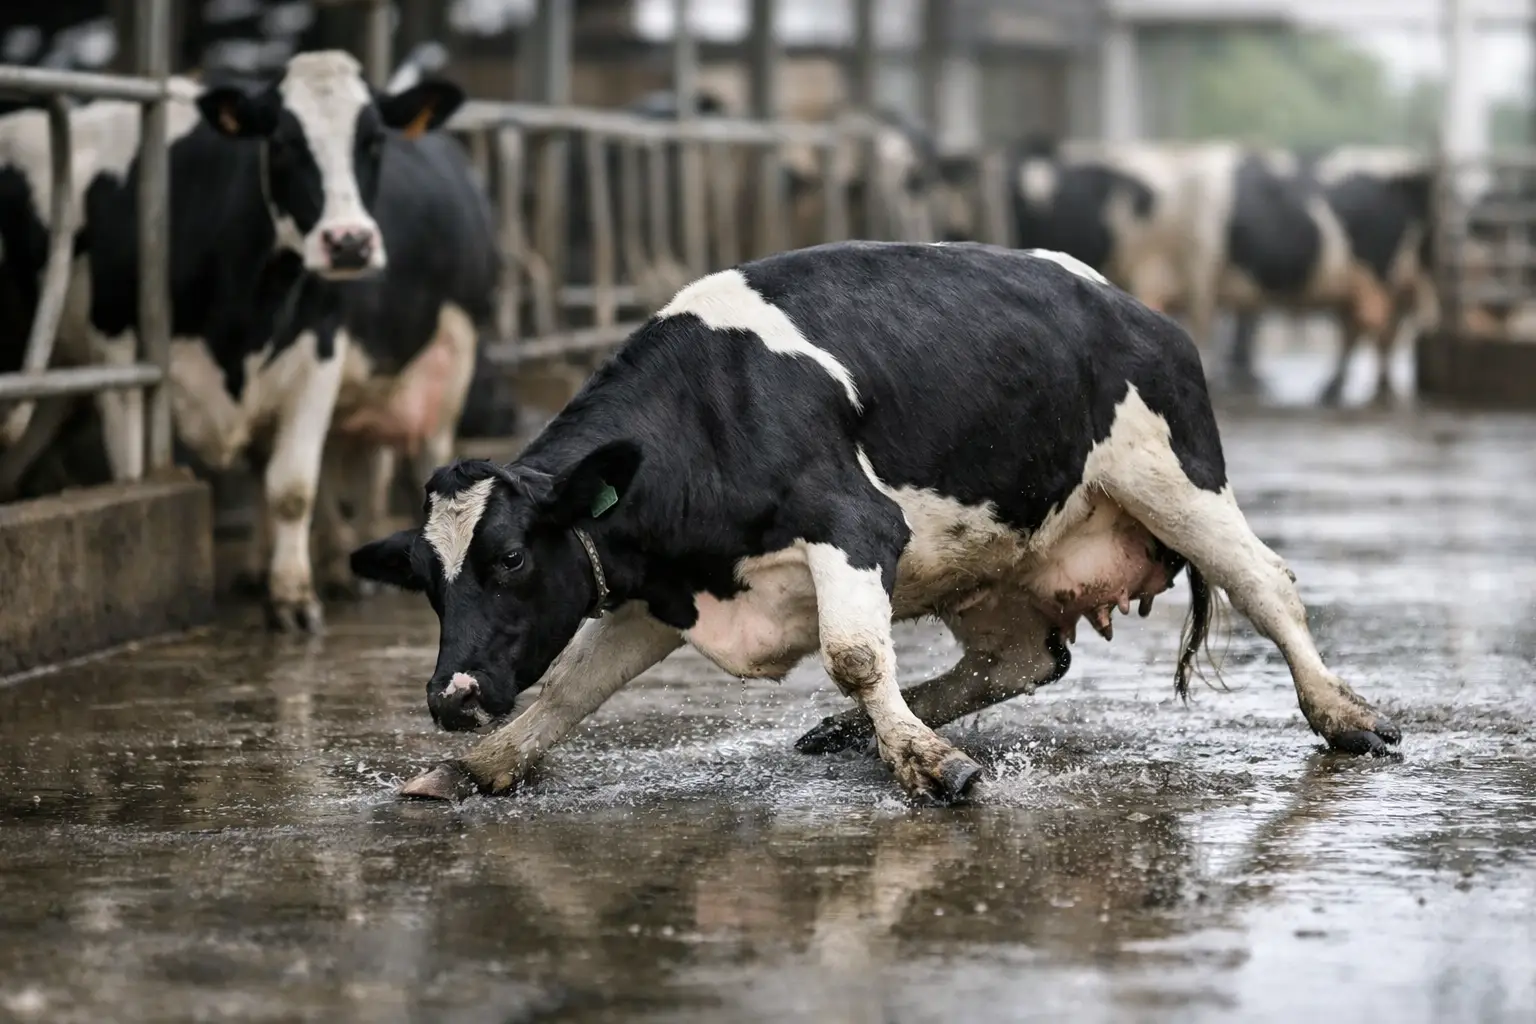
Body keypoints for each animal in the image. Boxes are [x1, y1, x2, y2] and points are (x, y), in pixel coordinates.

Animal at [0, 51, 499, 632]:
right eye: (281, 141)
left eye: (373, 140)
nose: (349, 242)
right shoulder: (119, 359)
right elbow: (133, 470)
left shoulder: (319, 354)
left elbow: (292, 487)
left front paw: (293, 598)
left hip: (451, 361)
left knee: (418, 457)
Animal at [348, 240, 1401, 805]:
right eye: (425, 581)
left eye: (510, 557)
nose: (450, 697)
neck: (709, 411)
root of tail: (1136, 308)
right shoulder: (662, 593)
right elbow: (570, 689)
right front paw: (476, 766)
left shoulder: (856, 525)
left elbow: (854, 653)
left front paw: (932, 769)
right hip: (990, 557)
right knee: (1026, 658)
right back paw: (854, 733)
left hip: (1173, 477)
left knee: (1268, 585)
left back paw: (1345, 715)